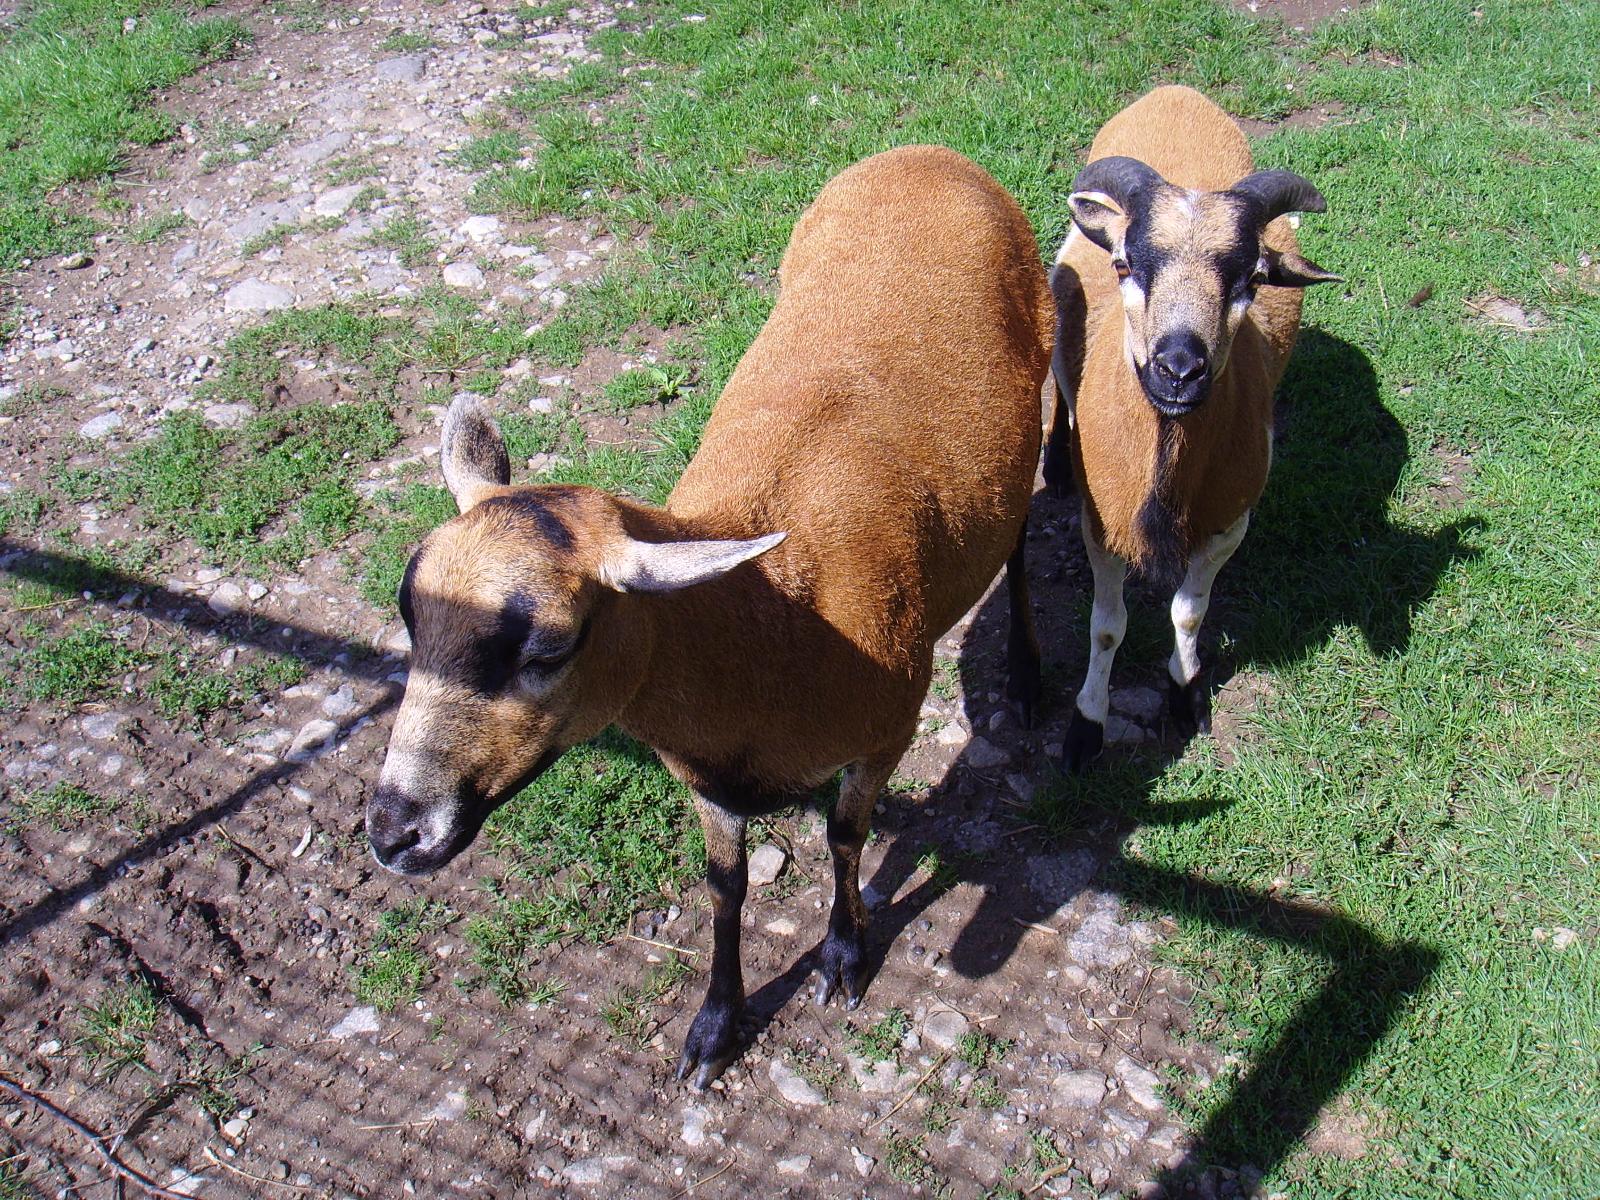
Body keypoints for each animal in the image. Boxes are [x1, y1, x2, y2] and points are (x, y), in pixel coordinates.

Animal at [1043, 86, 1344, 771]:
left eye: (1252, 278)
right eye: (1124, 264)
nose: (1179, 369)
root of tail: (1176, 93)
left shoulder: (1228, 522)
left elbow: (1188, 612)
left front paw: (1186, 697)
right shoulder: (1102, 522)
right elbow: (1108, 626)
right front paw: (1085, 729)